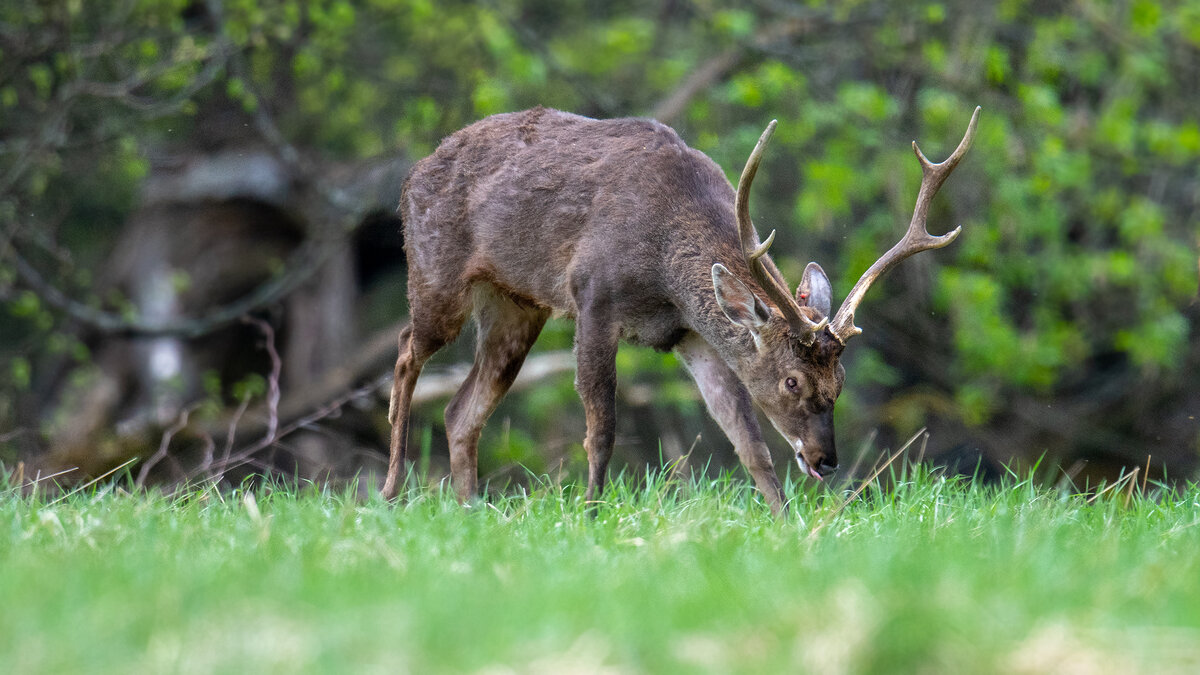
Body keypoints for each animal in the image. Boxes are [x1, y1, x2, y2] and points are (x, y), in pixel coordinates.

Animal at [382, 105, 980, 514]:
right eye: (791, 380)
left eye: (841, 382)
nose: (825, 460)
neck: (664, 259)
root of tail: (411, 175)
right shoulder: (593, 295)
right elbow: (602, 427)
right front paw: (590, 514)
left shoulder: (689, 332)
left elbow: (747, 437)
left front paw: (786, 524)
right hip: (435, 273)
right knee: (407, 353)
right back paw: (391, 490)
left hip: (516, 307)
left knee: (460, 411)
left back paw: (468, 509)